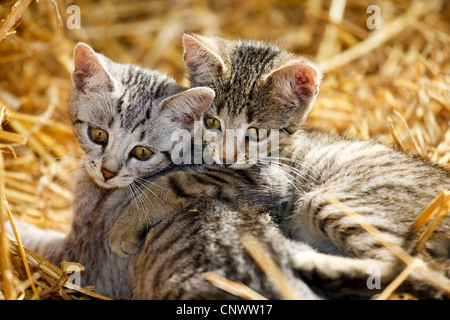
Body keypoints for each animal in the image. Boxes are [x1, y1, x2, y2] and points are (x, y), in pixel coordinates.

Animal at [112, 34, 450, 298]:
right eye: (212, 122)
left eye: (258, 132)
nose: (227, 156)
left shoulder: (269, 179)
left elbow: (178, 180)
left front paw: (125, 225)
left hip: (333, 201)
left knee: (415, 268)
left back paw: (313, 264)